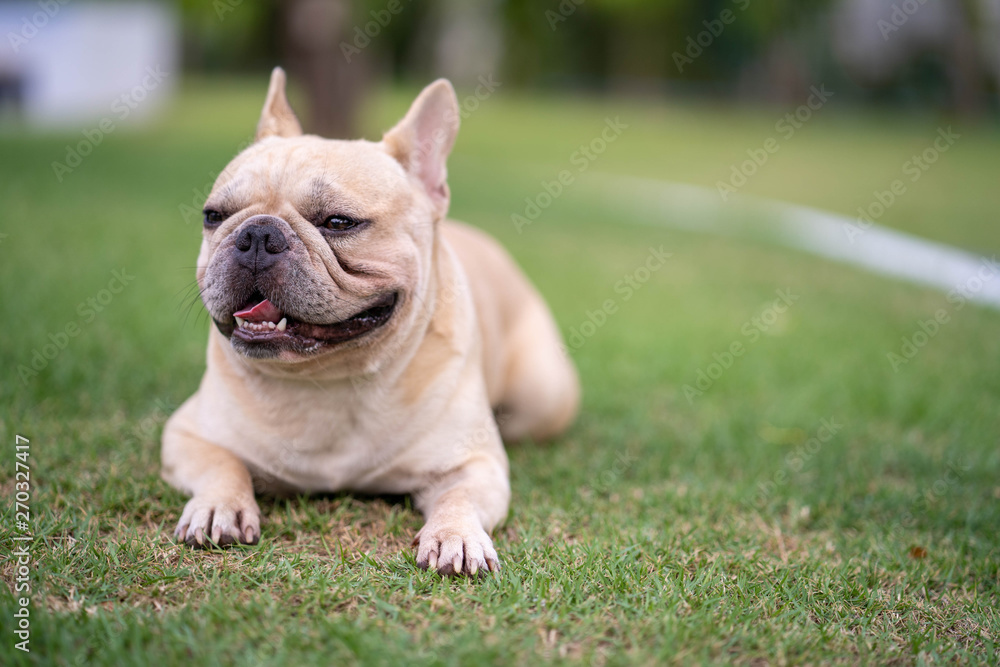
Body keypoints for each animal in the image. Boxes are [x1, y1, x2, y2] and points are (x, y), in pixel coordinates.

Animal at [161, 70, 584, 576]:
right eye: (214, 216)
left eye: (339, 222)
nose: (257, 234)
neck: (328, 379)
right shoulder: (186, 434)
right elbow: (223, 464)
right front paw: (217, 505)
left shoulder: (474, 464)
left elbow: (459, 497)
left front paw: (456, 536)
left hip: (543, 397)